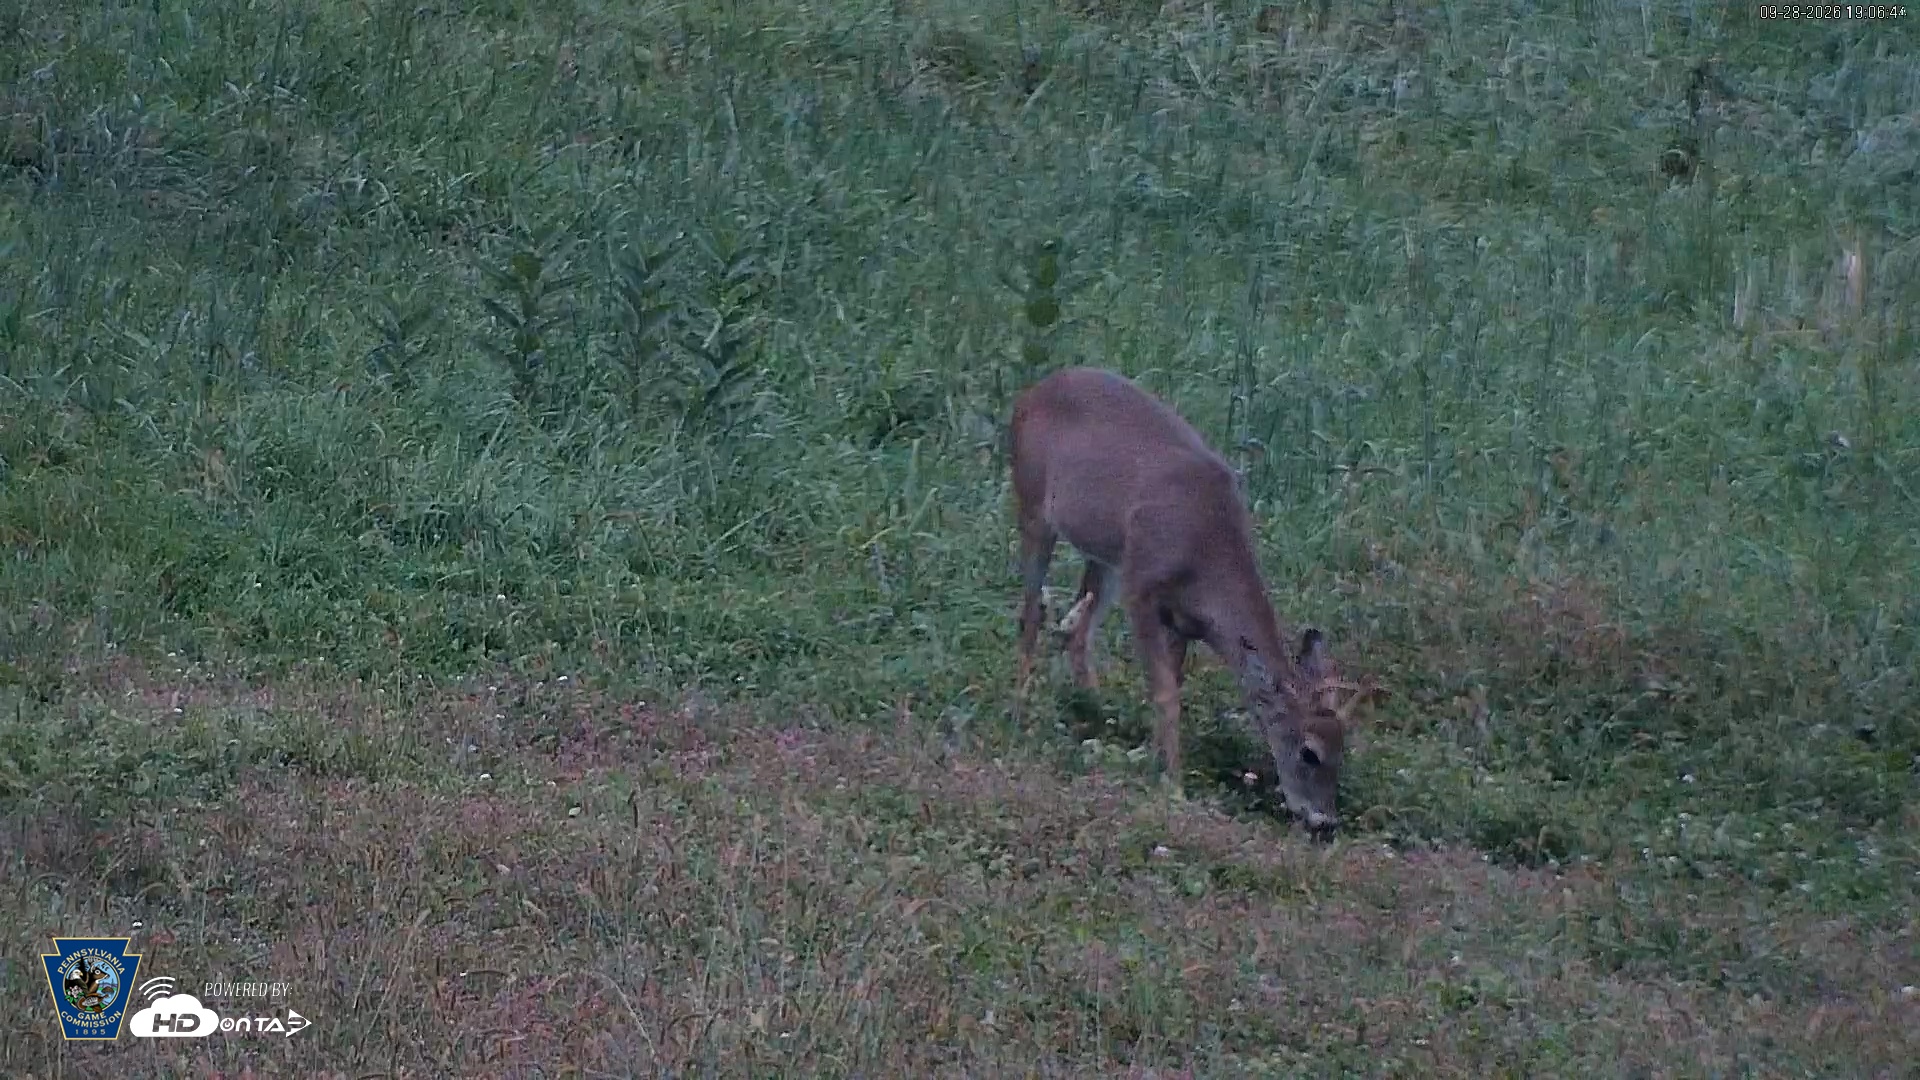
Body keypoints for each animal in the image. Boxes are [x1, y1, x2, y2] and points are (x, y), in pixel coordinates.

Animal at [1009, 366, 1369, 836]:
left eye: (1344, 752)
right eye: (1309, 753)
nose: (1324, 821)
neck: (1205, 554)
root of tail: (1033, 391)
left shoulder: (1182, 621)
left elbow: (1170, 686)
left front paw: (1151, 759)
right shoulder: (1142, 593)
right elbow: (1165, 694)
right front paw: (1175, 784)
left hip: (1106, 555)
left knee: (1077, 629)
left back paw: (1095, 710)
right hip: (1034, 506)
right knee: (1031, 613)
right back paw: (1021, 706)